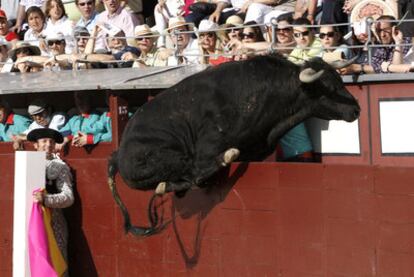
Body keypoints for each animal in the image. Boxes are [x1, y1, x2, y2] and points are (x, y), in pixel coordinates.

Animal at [108, 54, 360, 235]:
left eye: (339, 80)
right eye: (328, 87)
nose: (356, 109)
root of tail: (117, 154)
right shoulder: (207, 147)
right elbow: (201, 170)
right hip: (168, 158)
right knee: (193, 176)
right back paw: (223, 158)